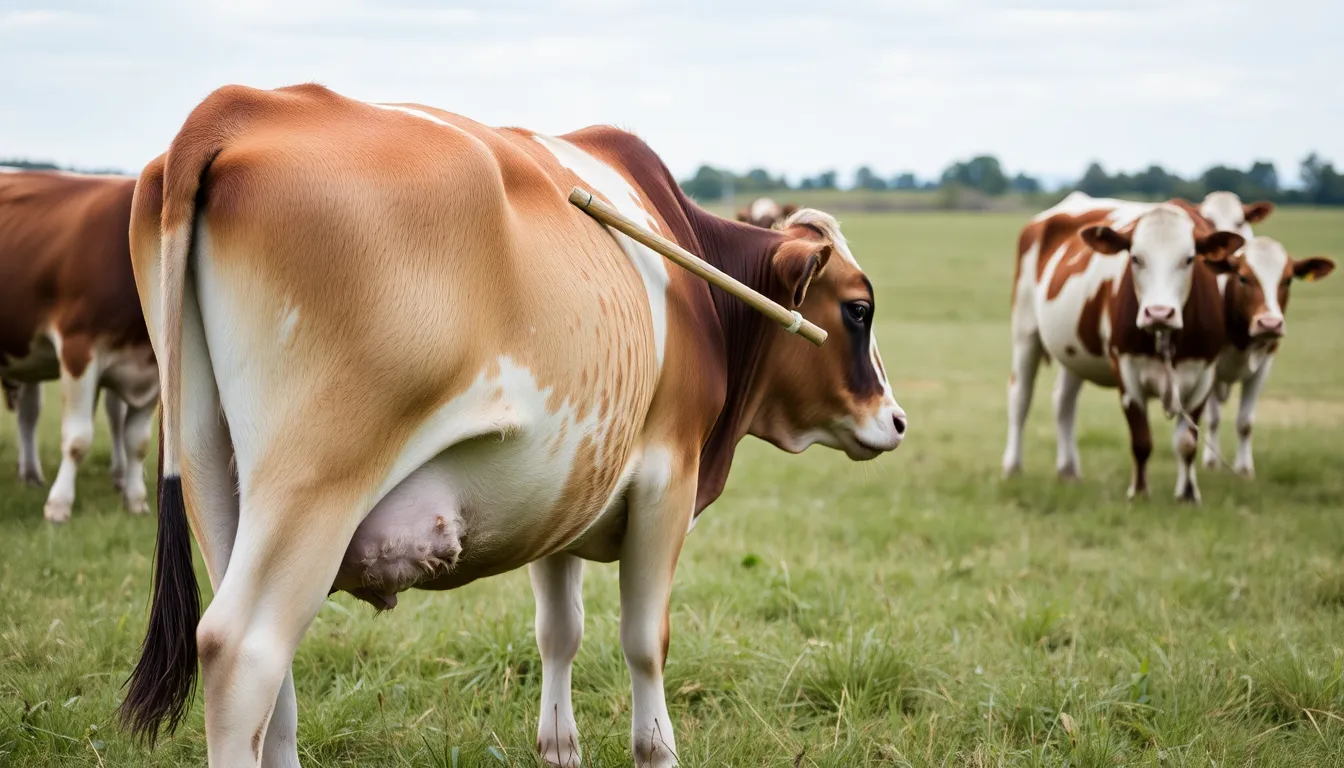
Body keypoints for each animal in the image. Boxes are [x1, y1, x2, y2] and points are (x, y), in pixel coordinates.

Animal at [0, 169, 160, 522]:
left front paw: (135, 500)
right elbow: (78, 439)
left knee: (28, 414)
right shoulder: (78, 347)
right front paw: (59, 505)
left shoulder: (152, 369)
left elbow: (137, 441)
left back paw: (30, 475)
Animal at [120, 83, 907, 768]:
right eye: (858, 309)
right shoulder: (668, 476)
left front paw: (559, 748)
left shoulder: (563, 487)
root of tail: (241, 106)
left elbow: (559, 632)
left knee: (267, 670)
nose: (895, 420)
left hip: (212, 478)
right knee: (242, 652)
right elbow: (644, 640)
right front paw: (657, 751)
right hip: (316, 483)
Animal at [1003, 193, 1243, 501]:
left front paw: (1188, 494)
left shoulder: (1204, 375)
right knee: (1020, 397)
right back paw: (1013, 466)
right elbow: (1141, 440)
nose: (1159, 312)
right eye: (1135, 257)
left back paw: (1068, 469)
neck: (1166, 338)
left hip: (1072, 351)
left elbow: (1187, 443)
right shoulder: (1127, 373)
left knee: (1064, 402)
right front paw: (1139, 492)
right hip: (1026, 332)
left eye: (1189, 259)